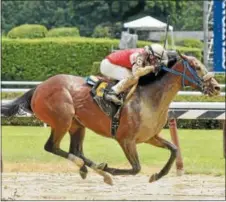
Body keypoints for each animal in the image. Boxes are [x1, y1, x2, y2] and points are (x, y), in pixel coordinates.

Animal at [1, 53, 221, 185]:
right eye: (196, 66)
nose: (217, 87)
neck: (149, 98)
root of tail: (39, 87)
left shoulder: (149, 137)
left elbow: (174, 149)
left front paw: (156, 175)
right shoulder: (126, 140)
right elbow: (135, 168)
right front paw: (112, 170)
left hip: (77, 125)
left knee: (76, 151)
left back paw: (95, 170)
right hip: (62, 119)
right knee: (52, 147)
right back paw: (98, 170)